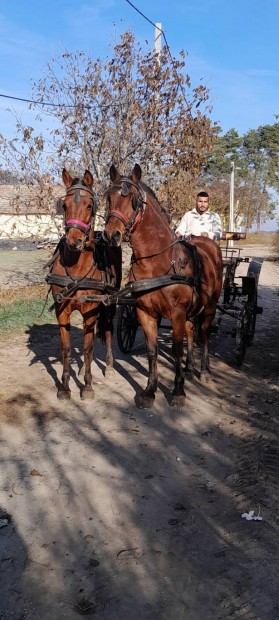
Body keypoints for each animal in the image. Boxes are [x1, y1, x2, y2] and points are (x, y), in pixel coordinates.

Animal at [46, 170, 122, 400]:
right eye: (64, 205)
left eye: (90, 205)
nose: (74, 241)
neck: (77, 266)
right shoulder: (61, 309)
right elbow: (67, 348)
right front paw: (64, 386)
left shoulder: (91, 308)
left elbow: (88, 349)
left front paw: (87, 386)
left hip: (109, 303)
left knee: (108, 329)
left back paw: (109, 366)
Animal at [104, 163, 224, 406]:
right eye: (109, 197)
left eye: (133, 200)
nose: (111, 235)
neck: (157, 262)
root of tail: (208, 243)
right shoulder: (145, 312)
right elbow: (152, 350)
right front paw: (150, 390)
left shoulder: (177, 312)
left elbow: (176, 349)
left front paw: (178, 390)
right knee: (191, 330)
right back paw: (189, 368)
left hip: (210, 306)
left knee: (204, 333)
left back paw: (204, 371)